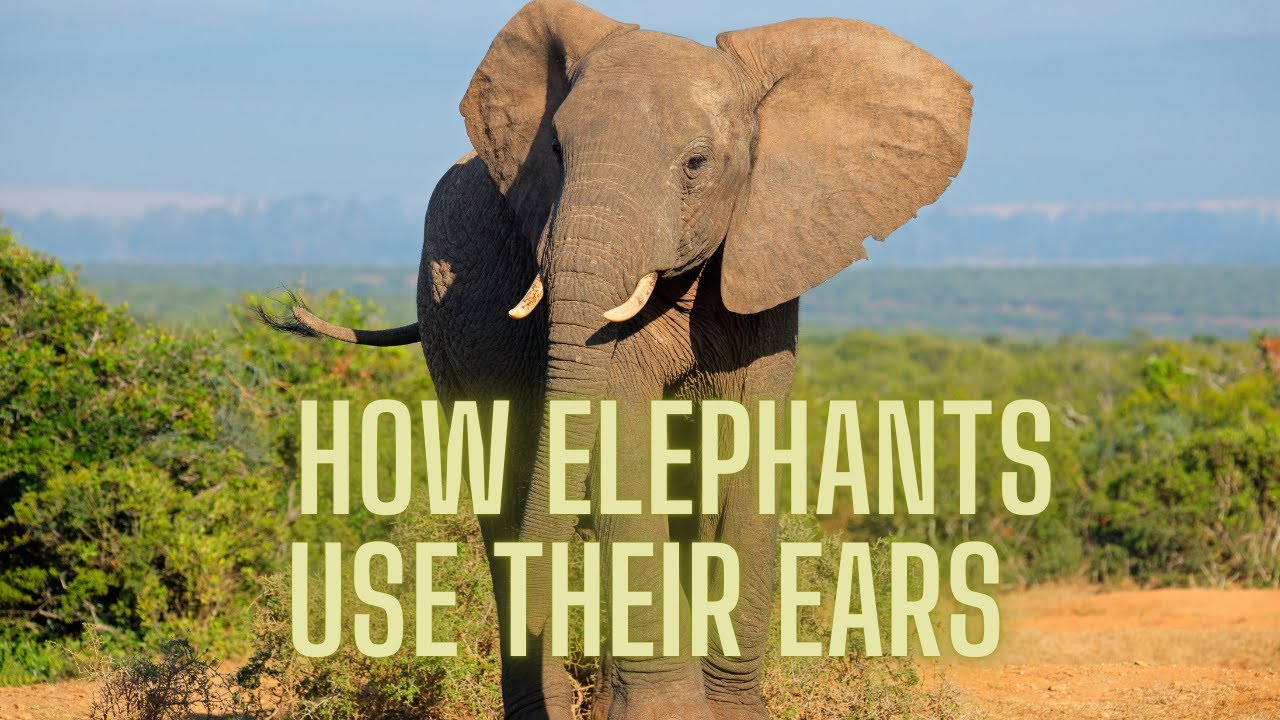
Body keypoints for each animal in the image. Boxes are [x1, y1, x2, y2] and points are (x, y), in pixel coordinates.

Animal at [265, 1, 971, 717]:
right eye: (554, 151)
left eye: (696, 163)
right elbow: (621, 445)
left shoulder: (767, 259)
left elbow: (746, 450)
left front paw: (729, 712)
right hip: (447, 325)